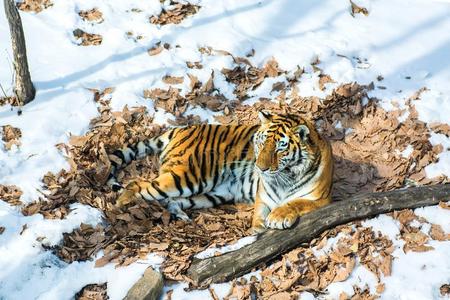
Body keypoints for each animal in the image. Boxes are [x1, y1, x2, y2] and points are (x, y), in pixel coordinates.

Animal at [108, 111, 334, 233]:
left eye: (280, 148)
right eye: (261, 143)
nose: (260, 168)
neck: (285, 177)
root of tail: (181, 129)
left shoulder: (322, 200)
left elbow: (296, 202)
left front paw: (277, 217)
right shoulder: (263, 197)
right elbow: (260, 213)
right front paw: (258, 227)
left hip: (211, 194)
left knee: (170, 200)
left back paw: (180, 215)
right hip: (188, 177)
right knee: (136, 185)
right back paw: (119, 206)